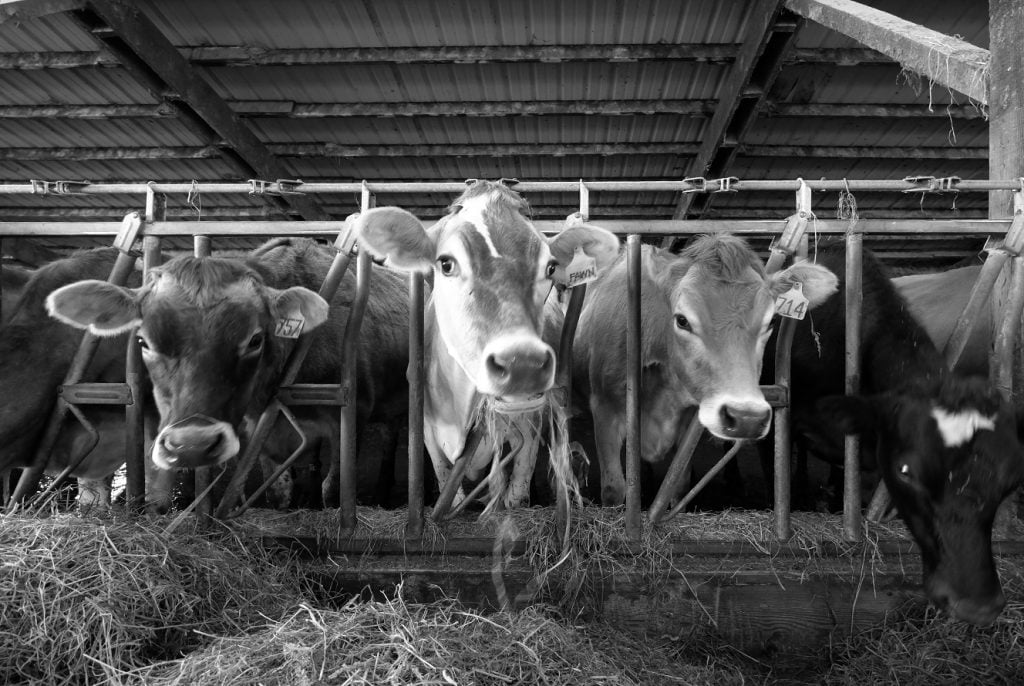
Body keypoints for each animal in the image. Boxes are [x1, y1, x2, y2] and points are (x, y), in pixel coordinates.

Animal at [46, 239, 409, 507]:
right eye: (143, 341)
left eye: (255, 339)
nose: (191, 444)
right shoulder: (261, 423)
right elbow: (277, 489)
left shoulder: (353, 412)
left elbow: (335, 487)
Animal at [348, 180, 618, 507]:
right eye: (446, 263)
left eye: (550, 268)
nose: (522, 365)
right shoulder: (428, 431)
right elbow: (449, 494)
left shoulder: (527, 426)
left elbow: (516, 495)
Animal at [577, 236, 839, 505]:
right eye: (682, 320)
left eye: (771, 322)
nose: (746, 417)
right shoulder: (605, 409)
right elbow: (614, 490)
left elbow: (678, 484)